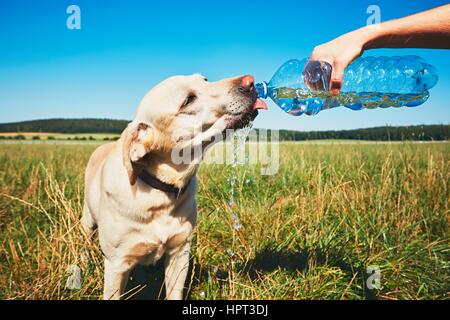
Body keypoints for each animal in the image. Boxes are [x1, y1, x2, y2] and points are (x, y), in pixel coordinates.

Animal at [81, 74, 268, 298]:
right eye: (188, 100)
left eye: (205, 79)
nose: (250, 81)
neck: (159, 193)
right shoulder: (116, 264)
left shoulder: (180, 252)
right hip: (87, 220)